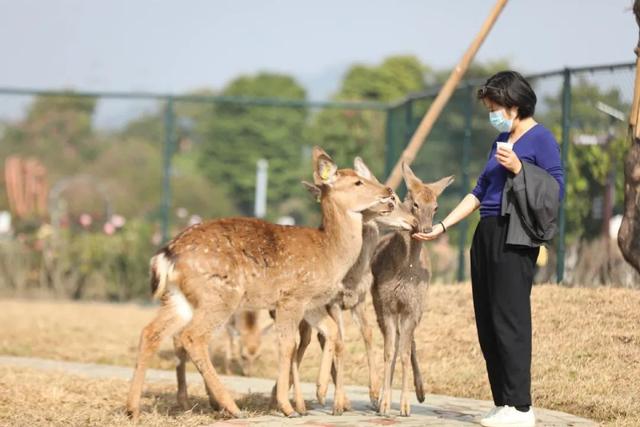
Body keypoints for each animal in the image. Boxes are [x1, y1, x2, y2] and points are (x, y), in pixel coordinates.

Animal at [125, 146, 408, 418]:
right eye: (358, 182)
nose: (388, 190)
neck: (329, 251)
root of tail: (167, 254)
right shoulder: (292, 297)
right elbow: (288, 344)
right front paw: (287, 407)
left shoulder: (312, 303)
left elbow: (329, 332)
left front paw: (313, 397)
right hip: (220, 295)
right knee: (192, 336)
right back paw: (231, 407)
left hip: (179, 298)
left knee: (151, 332)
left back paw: (133, 409)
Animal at [370, 164, 456, 418]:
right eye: (415, 204)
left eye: (436, 206)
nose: (426, 229)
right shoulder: (387, 304)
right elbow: (389, 351)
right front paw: (384, 404)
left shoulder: (412, 306)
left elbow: (405, 353)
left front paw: (405, 406)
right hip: (378, 304)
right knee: (397, 342)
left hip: (420, 307)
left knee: (410, 343)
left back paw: (420, 392)